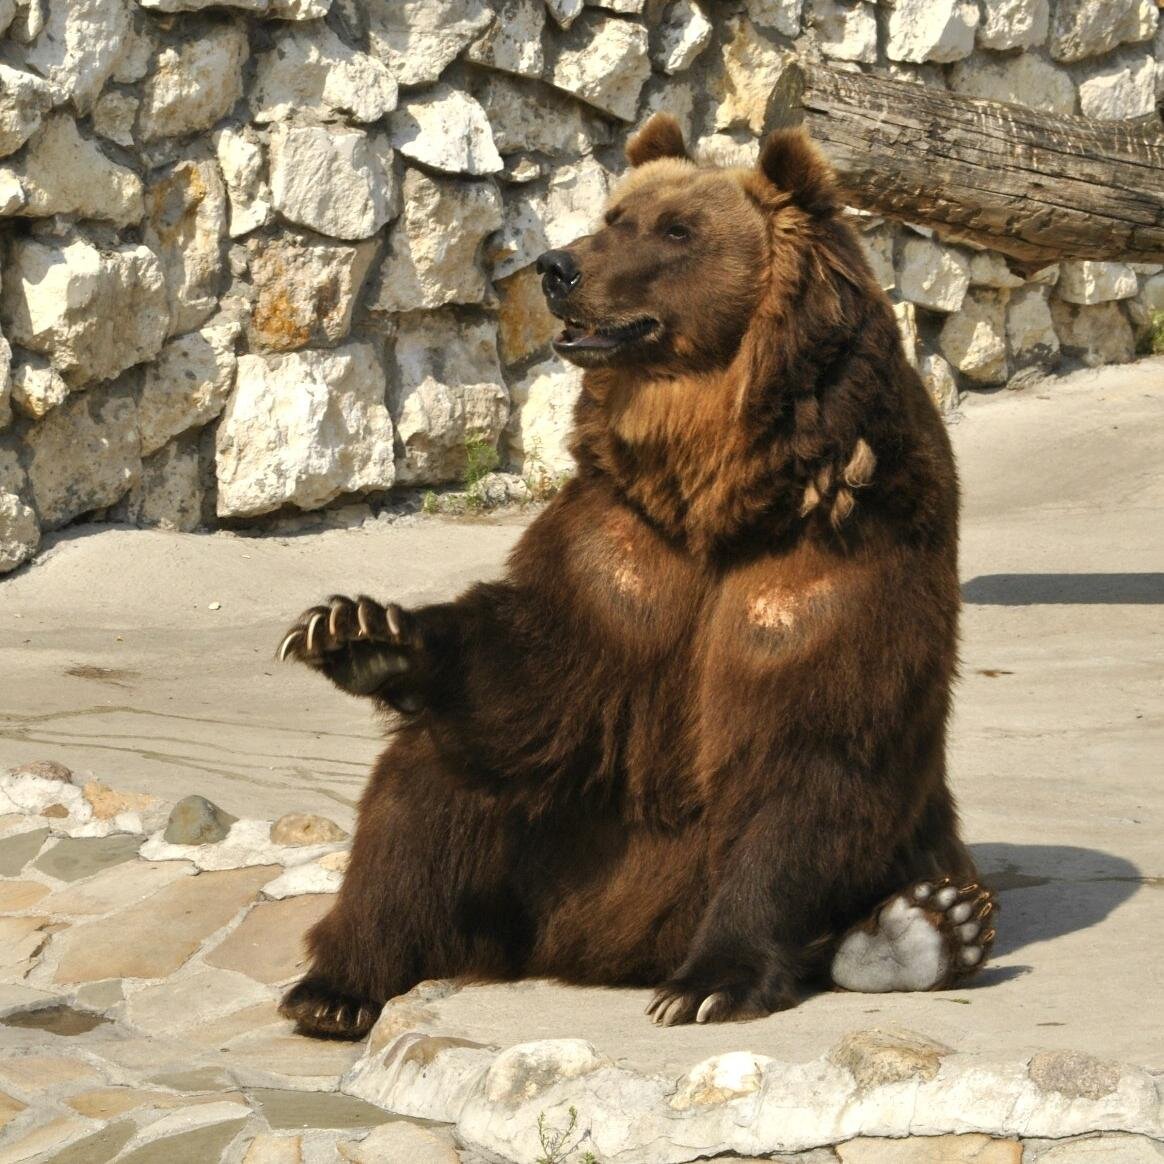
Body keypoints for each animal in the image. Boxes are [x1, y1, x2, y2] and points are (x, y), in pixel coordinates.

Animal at [272, 118, 991, 1042]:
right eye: (616, 215)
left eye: (677, 230)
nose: (557, 267)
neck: (722, 487)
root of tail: (595, 950)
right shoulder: (626, 549)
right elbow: (539, 660)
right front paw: (359, 630)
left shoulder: (837, 553)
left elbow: (812, 753)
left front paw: (710, 983)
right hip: (556, 865)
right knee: (428, 779)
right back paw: (338, 983)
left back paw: (925, 929)